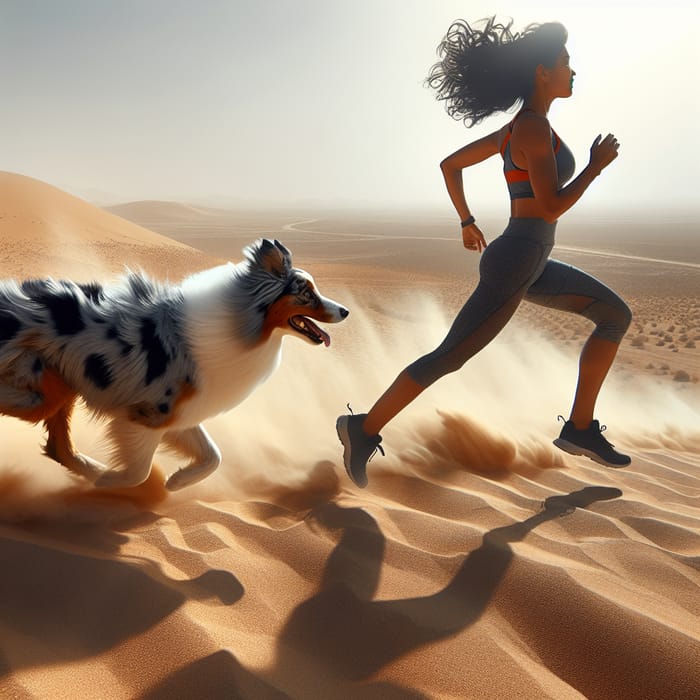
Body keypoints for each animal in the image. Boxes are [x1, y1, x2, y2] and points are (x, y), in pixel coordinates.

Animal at [0, 238, 348, 490]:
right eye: (307, 293)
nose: (345, 311)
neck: (238, 322)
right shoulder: (149, 413)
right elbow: (139, 472)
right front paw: (112, 481)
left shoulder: (181, 414)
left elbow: (213, 455)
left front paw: (178, 481)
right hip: (42, 390)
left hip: (61, 385)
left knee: (58, 447)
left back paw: (91, 469)